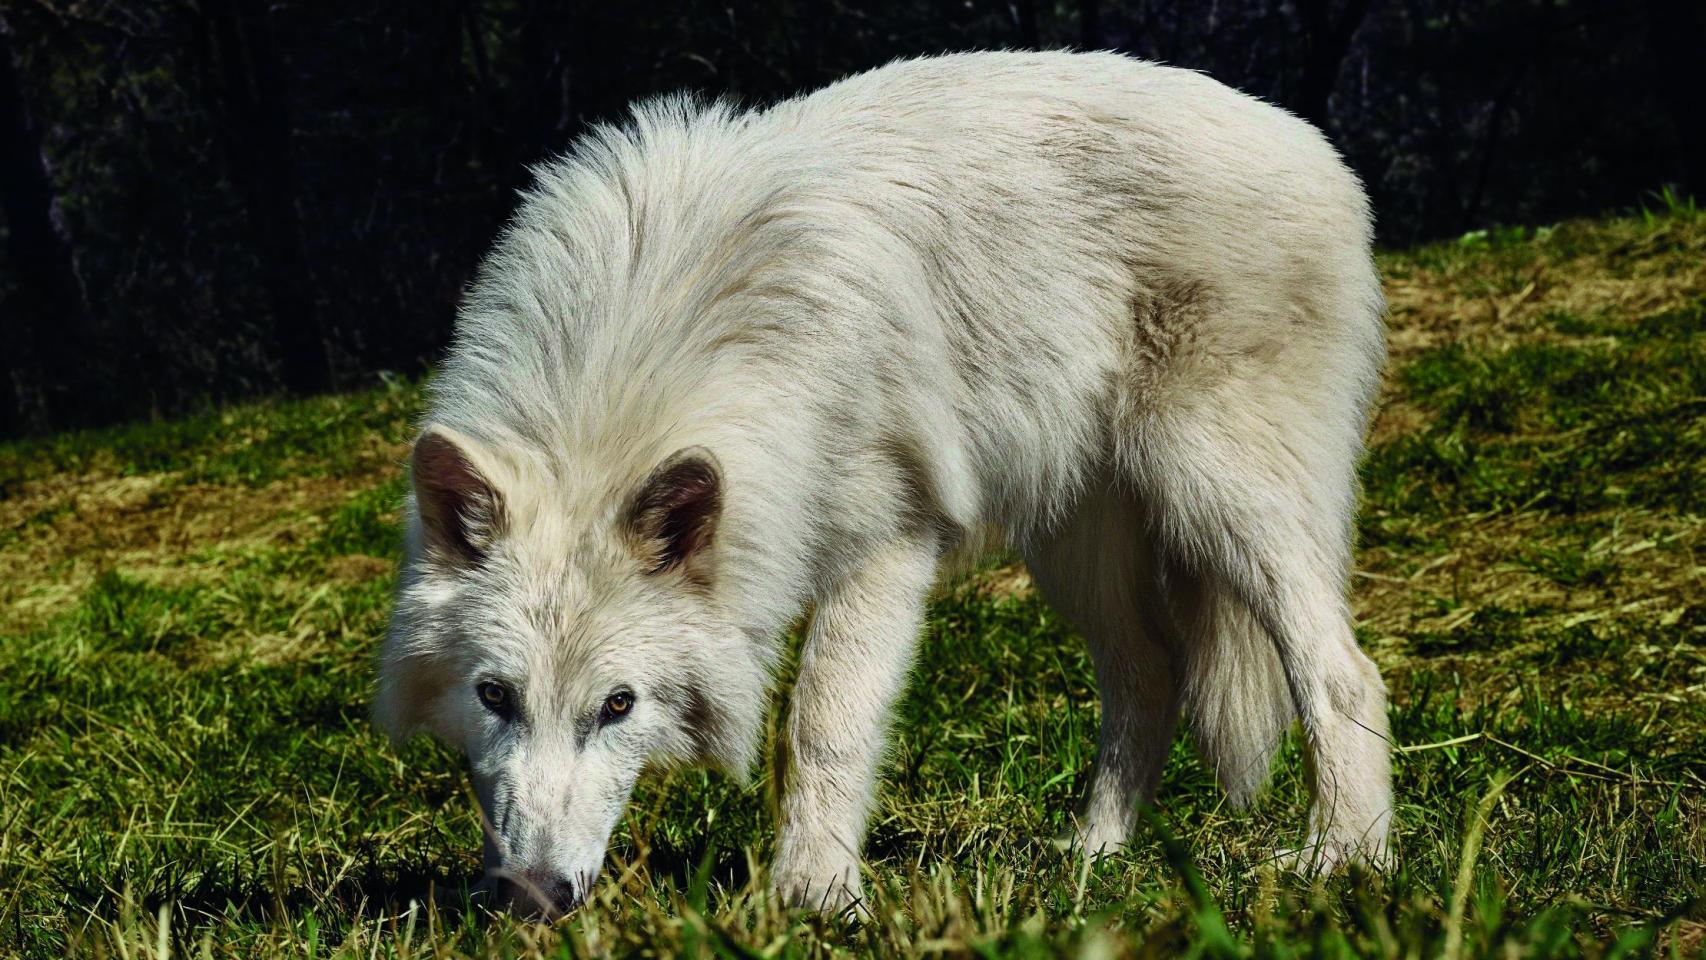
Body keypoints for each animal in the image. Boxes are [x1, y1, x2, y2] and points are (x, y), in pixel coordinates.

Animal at [376, 50, 1393, 917]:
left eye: (618, 705)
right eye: (494, 696)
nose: (529, 898)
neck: (648, 354)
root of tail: (1314, 146)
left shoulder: (888, 544)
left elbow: (823, 725)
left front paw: (816, 897)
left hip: (1220, 500)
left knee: (1342, 671)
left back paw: (1346, 858)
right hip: (1077, 549)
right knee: (1150, 677)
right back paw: (1093, 859)